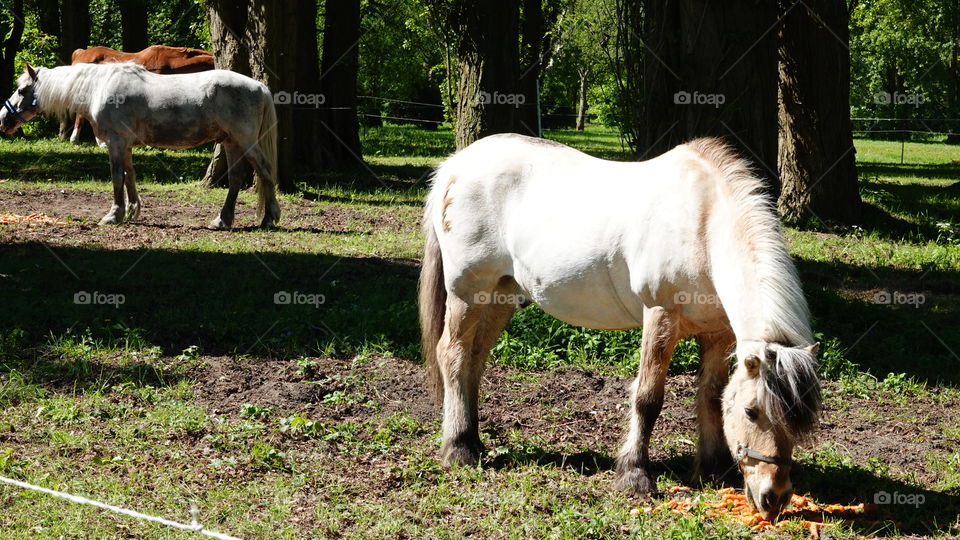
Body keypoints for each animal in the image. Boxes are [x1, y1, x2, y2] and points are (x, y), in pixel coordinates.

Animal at [0, 63, 280, 229]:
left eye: (22, 90)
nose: (3, 119)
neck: (98, 88)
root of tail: (260, 87)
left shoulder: (115, 143)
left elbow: (117, 178)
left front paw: (113, 215)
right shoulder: (125, 145)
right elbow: (130, 177)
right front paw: (132, 211)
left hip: (246, 141)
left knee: (265, 172)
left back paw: (269, 218)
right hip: (231, 142)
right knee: (235, 180)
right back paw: (222, 220)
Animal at [418, 134, 821, 520]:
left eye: (799, 422)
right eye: (752, 412)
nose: (774, 498)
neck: (702, 224)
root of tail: (454, 166)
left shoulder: (717, 332)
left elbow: (711, 394)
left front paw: (712, 470)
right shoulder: (659, 314)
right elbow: (648, 398)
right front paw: (635, 475)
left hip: (500, 296)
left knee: (474, 362)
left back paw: (473, 440)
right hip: (467, 293)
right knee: (453, 355)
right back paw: (458, 449)